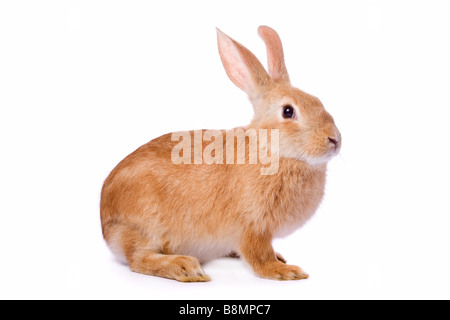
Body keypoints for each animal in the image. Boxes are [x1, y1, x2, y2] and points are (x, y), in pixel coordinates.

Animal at [101, 25, 342, 282]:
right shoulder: (252, 227)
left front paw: (281, 260)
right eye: (288, 111)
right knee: (138, 259)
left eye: (317, 100)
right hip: (145, 228)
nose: (335, 139)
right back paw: (186, 267)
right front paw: (286, 271)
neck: (271, 150)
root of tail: (106, 225)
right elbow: (259, 256)